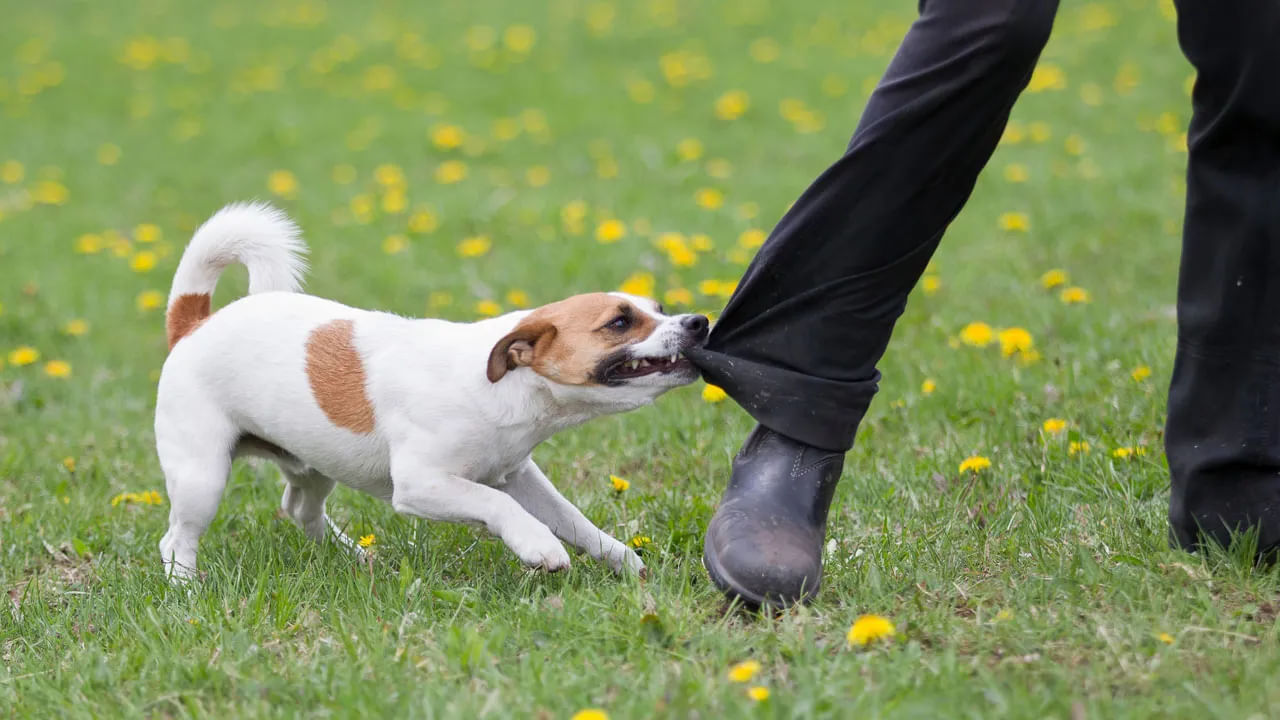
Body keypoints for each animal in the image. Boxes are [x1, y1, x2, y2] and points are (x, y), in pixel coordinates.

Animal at [153, 199, 711, 576]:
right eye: (619, 322)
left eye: (658, 309)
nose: (699, 322)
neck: (501, 388)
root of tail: (194, 323)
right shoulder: (423, 485)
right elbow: (496, 506)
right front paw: (537, 545)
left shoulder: (519, 476)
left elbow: (573, 519)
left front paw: (622, 560)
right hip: (202, 477)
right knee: (176, 539)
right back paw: (187, 589)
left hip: (314, 465)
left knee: (300, 511)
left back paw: (354, 557)